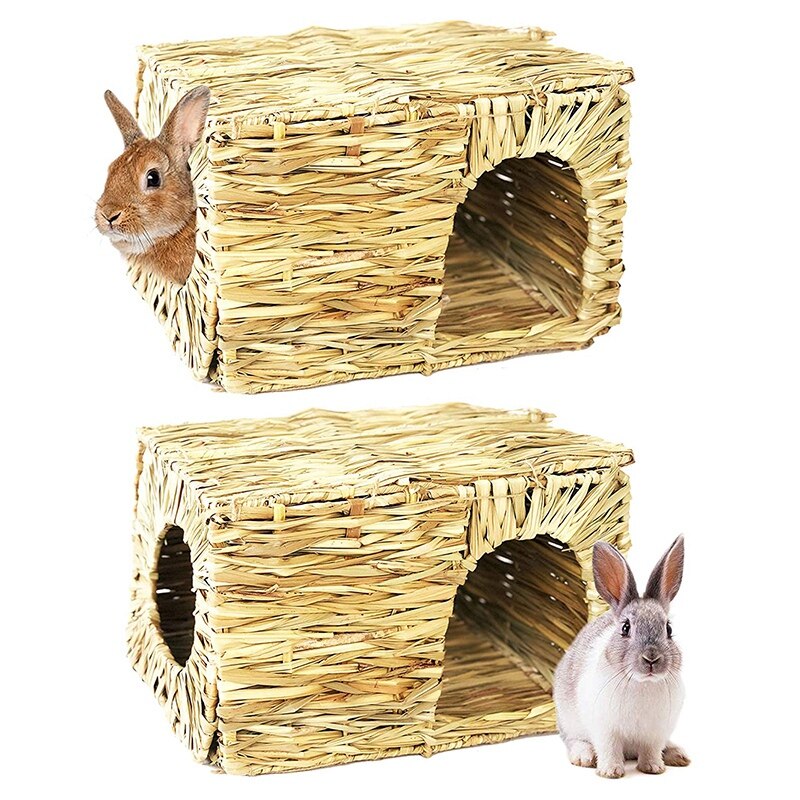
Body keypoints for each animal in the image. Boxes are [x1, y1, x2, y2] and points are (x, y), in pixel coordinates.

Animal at [553, 536, 690, 778]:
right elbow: (609, 749)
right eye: (625, 628)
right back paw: (584, 756)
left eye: (669, 629)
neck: (642, 683)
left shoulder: (655, 733)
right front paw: (610, 772)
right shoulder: (605, 730)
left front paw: (653, 768)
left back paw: (678, 755)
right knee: (573, 740)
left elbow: (651, 750)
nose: (651, 659)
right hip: (569, 722)